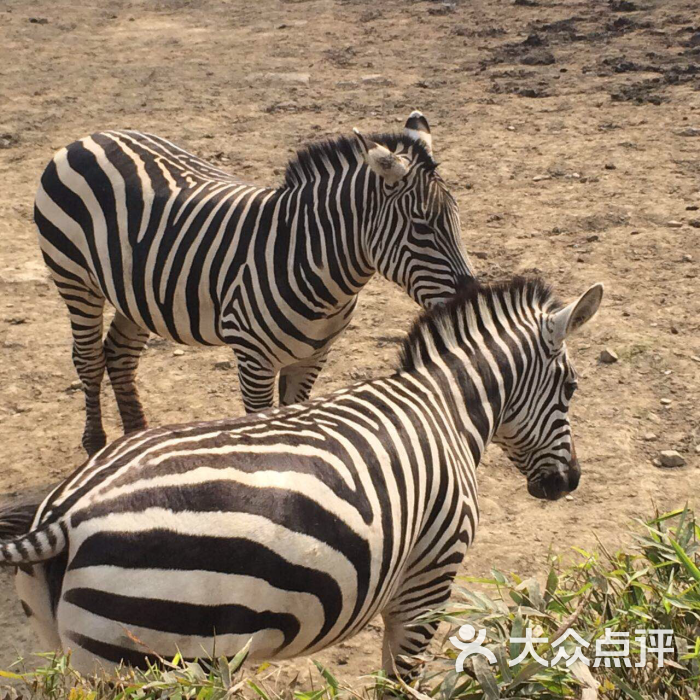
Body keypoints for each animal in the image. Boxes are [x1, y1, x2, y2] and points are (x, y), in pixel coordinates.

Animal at [0, 274, 600, 680]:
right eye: (571, 387)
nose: (568, 483)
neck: (445, 407)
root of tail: (67, 514)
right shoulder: (430, 577)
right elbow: (399, 680)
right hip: (150, 659)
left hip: (68, 652)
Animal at [32, 110, 470, 454]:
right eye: (422, 225)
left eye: (456, 217)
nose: (468, 295)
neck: (306, 257)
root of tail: (89, 137)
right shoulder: (252, 358)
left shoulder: (313, 357)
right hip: (75, 278)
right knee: (88, 358)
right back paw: (96, 443)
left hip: (133, 292)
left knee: (119, 354)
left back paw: (135, 436)